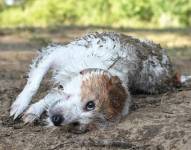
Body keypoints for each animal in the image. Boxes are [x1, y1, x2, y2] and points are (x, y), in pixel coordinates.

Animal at [9, 31, 190, 132]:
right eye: (90, 104)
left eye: (78, 124)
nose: (57, 120)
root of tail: (172, 75)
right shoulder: (55, 54)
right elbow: (34, 83)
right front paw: (20, 105)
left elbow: (50, 97)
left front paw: (33, 111)